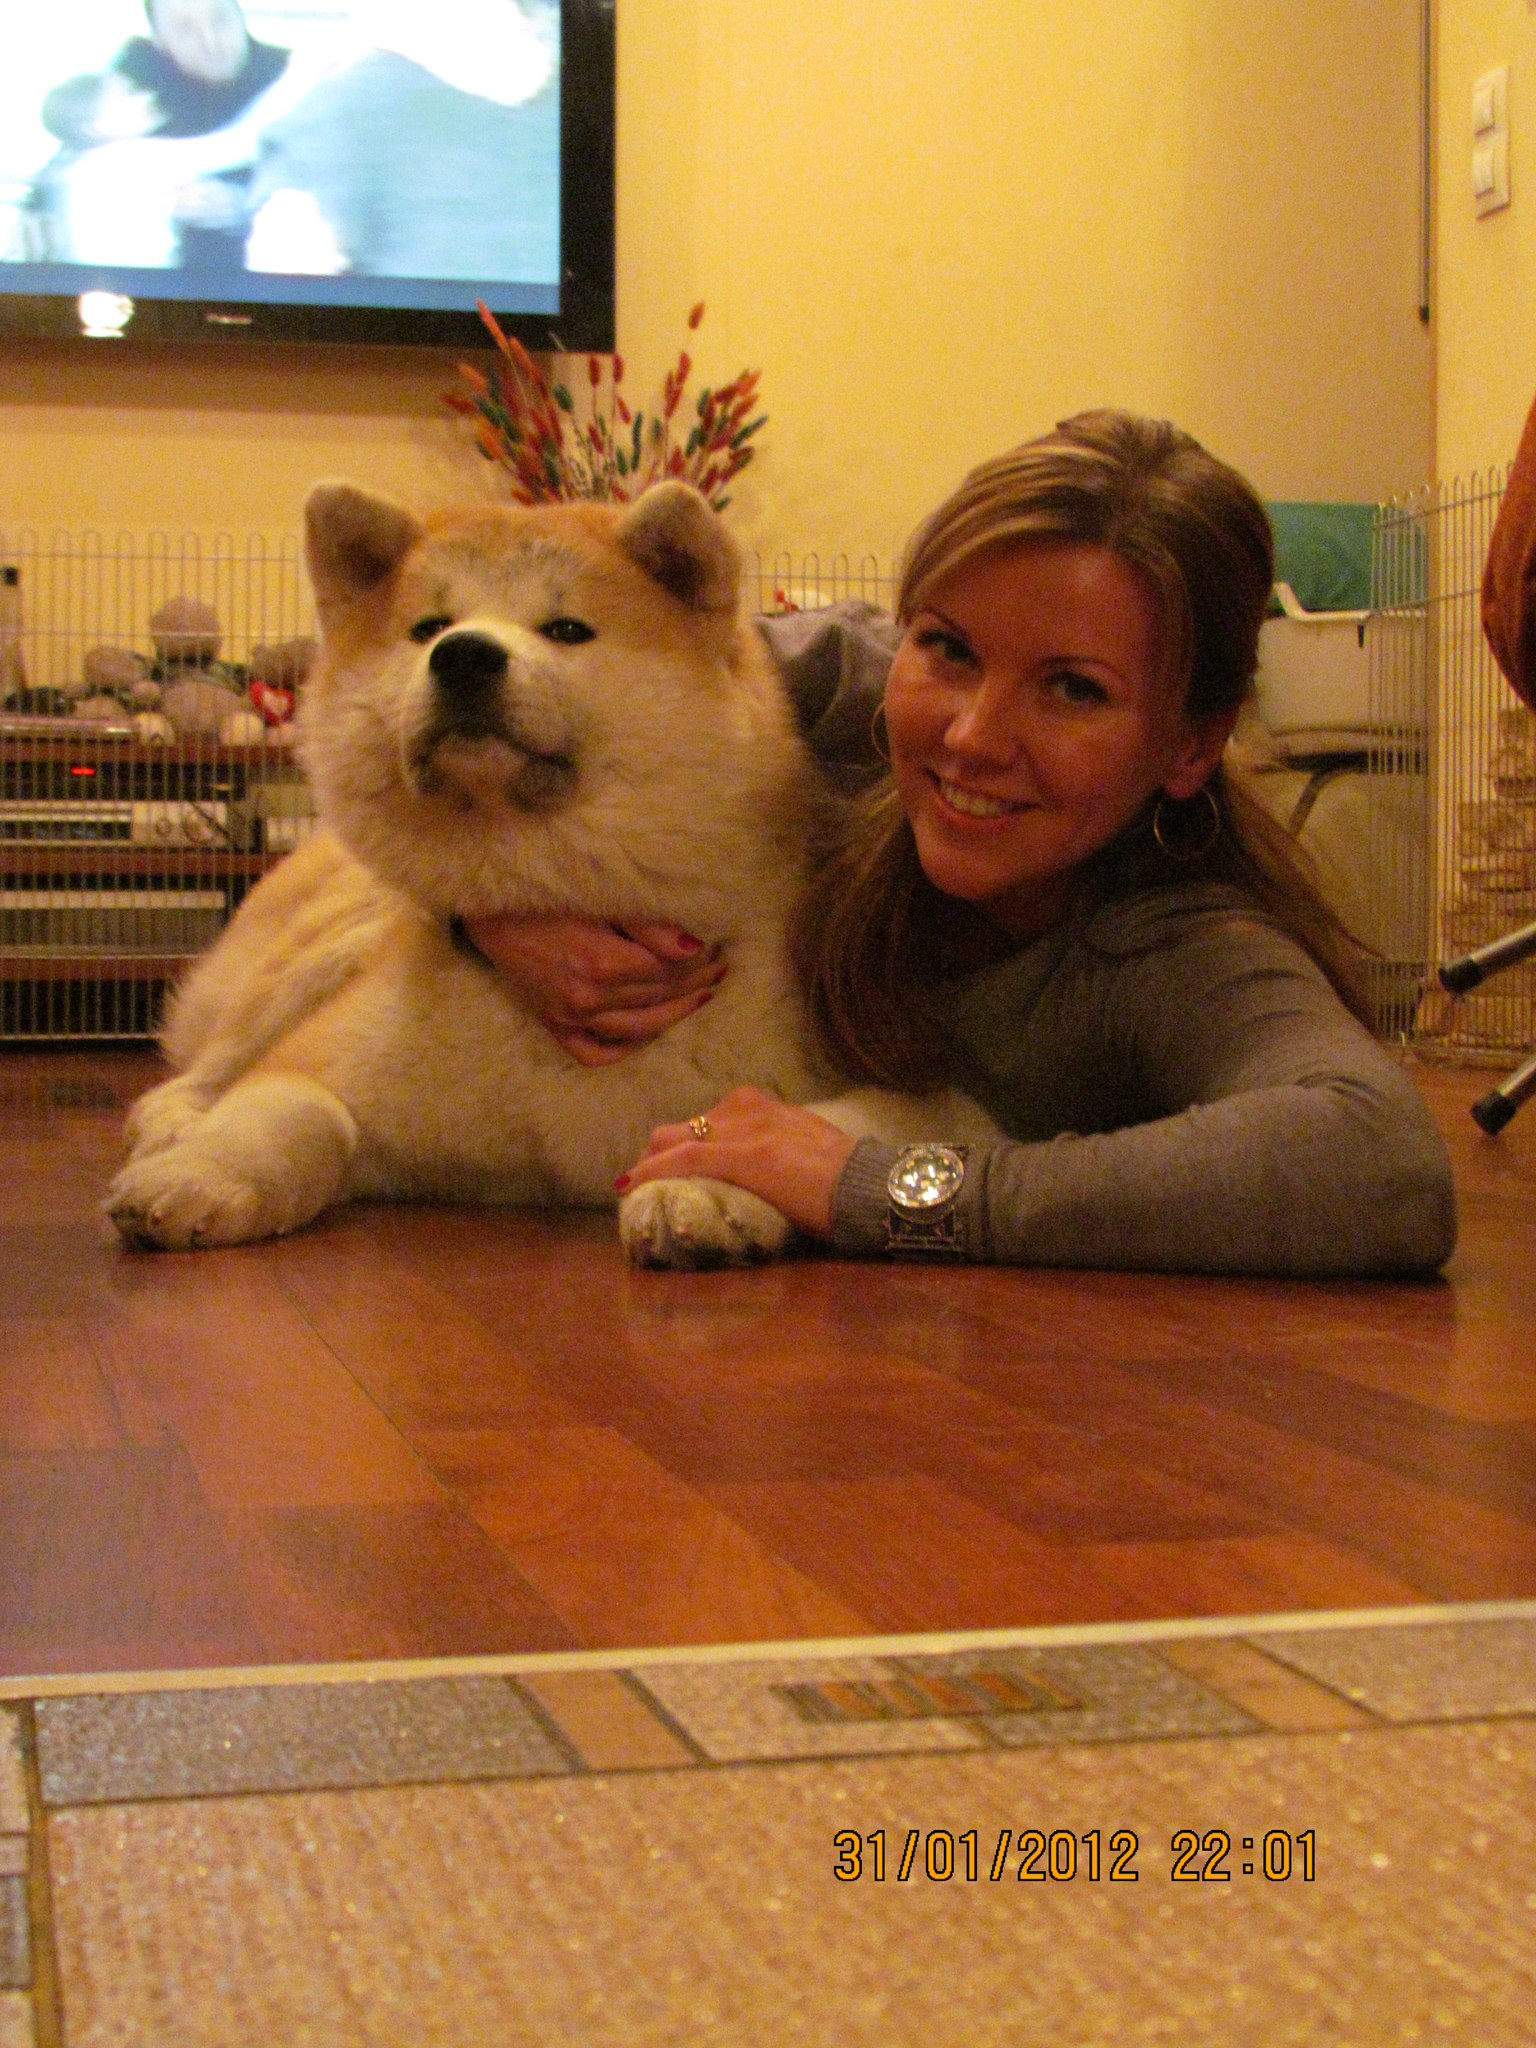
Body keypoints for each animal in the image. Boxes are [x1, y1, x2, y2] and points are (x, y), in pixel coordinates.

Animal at [107, 480, 994, 1266]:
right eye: (429, 626)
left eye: (567, 627)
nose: (463, 656)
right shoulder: (323, 1065)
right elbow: (295, 1111)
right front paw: (203, 1173)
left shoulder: (937, 1096)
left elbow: (809, 1123)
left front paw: (707, 1184)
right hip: (320, 955)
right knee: (198, 1069)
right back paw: (178, 1126)